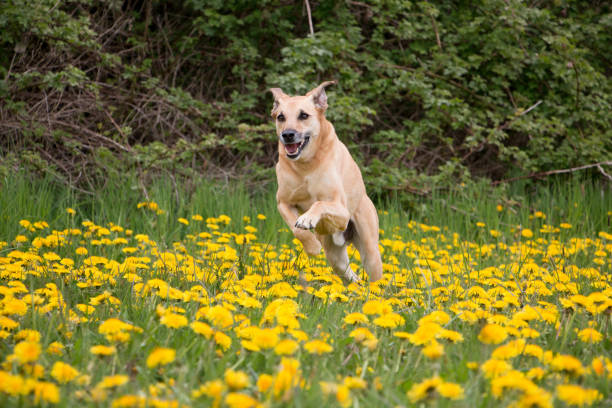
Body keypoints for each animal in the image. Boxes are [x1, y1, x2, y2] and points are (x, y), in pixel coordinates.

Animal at [268, 81, 380, 282]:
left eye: (304, 115)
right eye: (281, 117)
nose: (288, 134)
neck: (306, 165)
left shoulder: (342, 211)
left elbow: (320, 203)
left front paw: (308, 218)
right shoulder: (283, 203)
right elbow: (297, 230)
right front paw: (312, 246)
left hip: (370, 253)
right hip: (336, 258)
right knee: (352, 278)